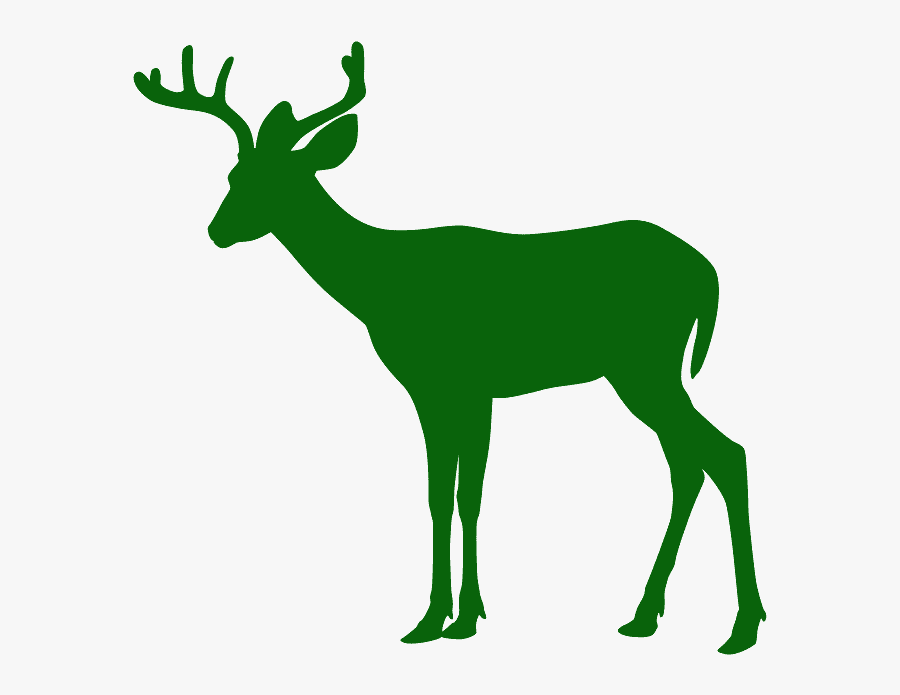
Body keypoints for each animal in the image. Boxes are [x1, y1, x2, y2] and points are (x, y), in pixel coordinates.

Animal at [134, 41, 766, 654]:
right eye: (234, 174)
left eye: (278, 179)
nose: (216, 230)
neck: (384, 287)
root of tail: (708, 271)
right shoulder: (446, 391)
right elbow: (447, 496)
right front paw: (448, 616)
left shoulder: (459, 384)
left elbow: (461, 495)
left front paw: (452, 618)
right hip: (642, 372)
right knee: (689, 463)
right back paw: (645, 615)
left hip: (645, 365)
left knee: (724, 454)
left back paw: (742, 625)